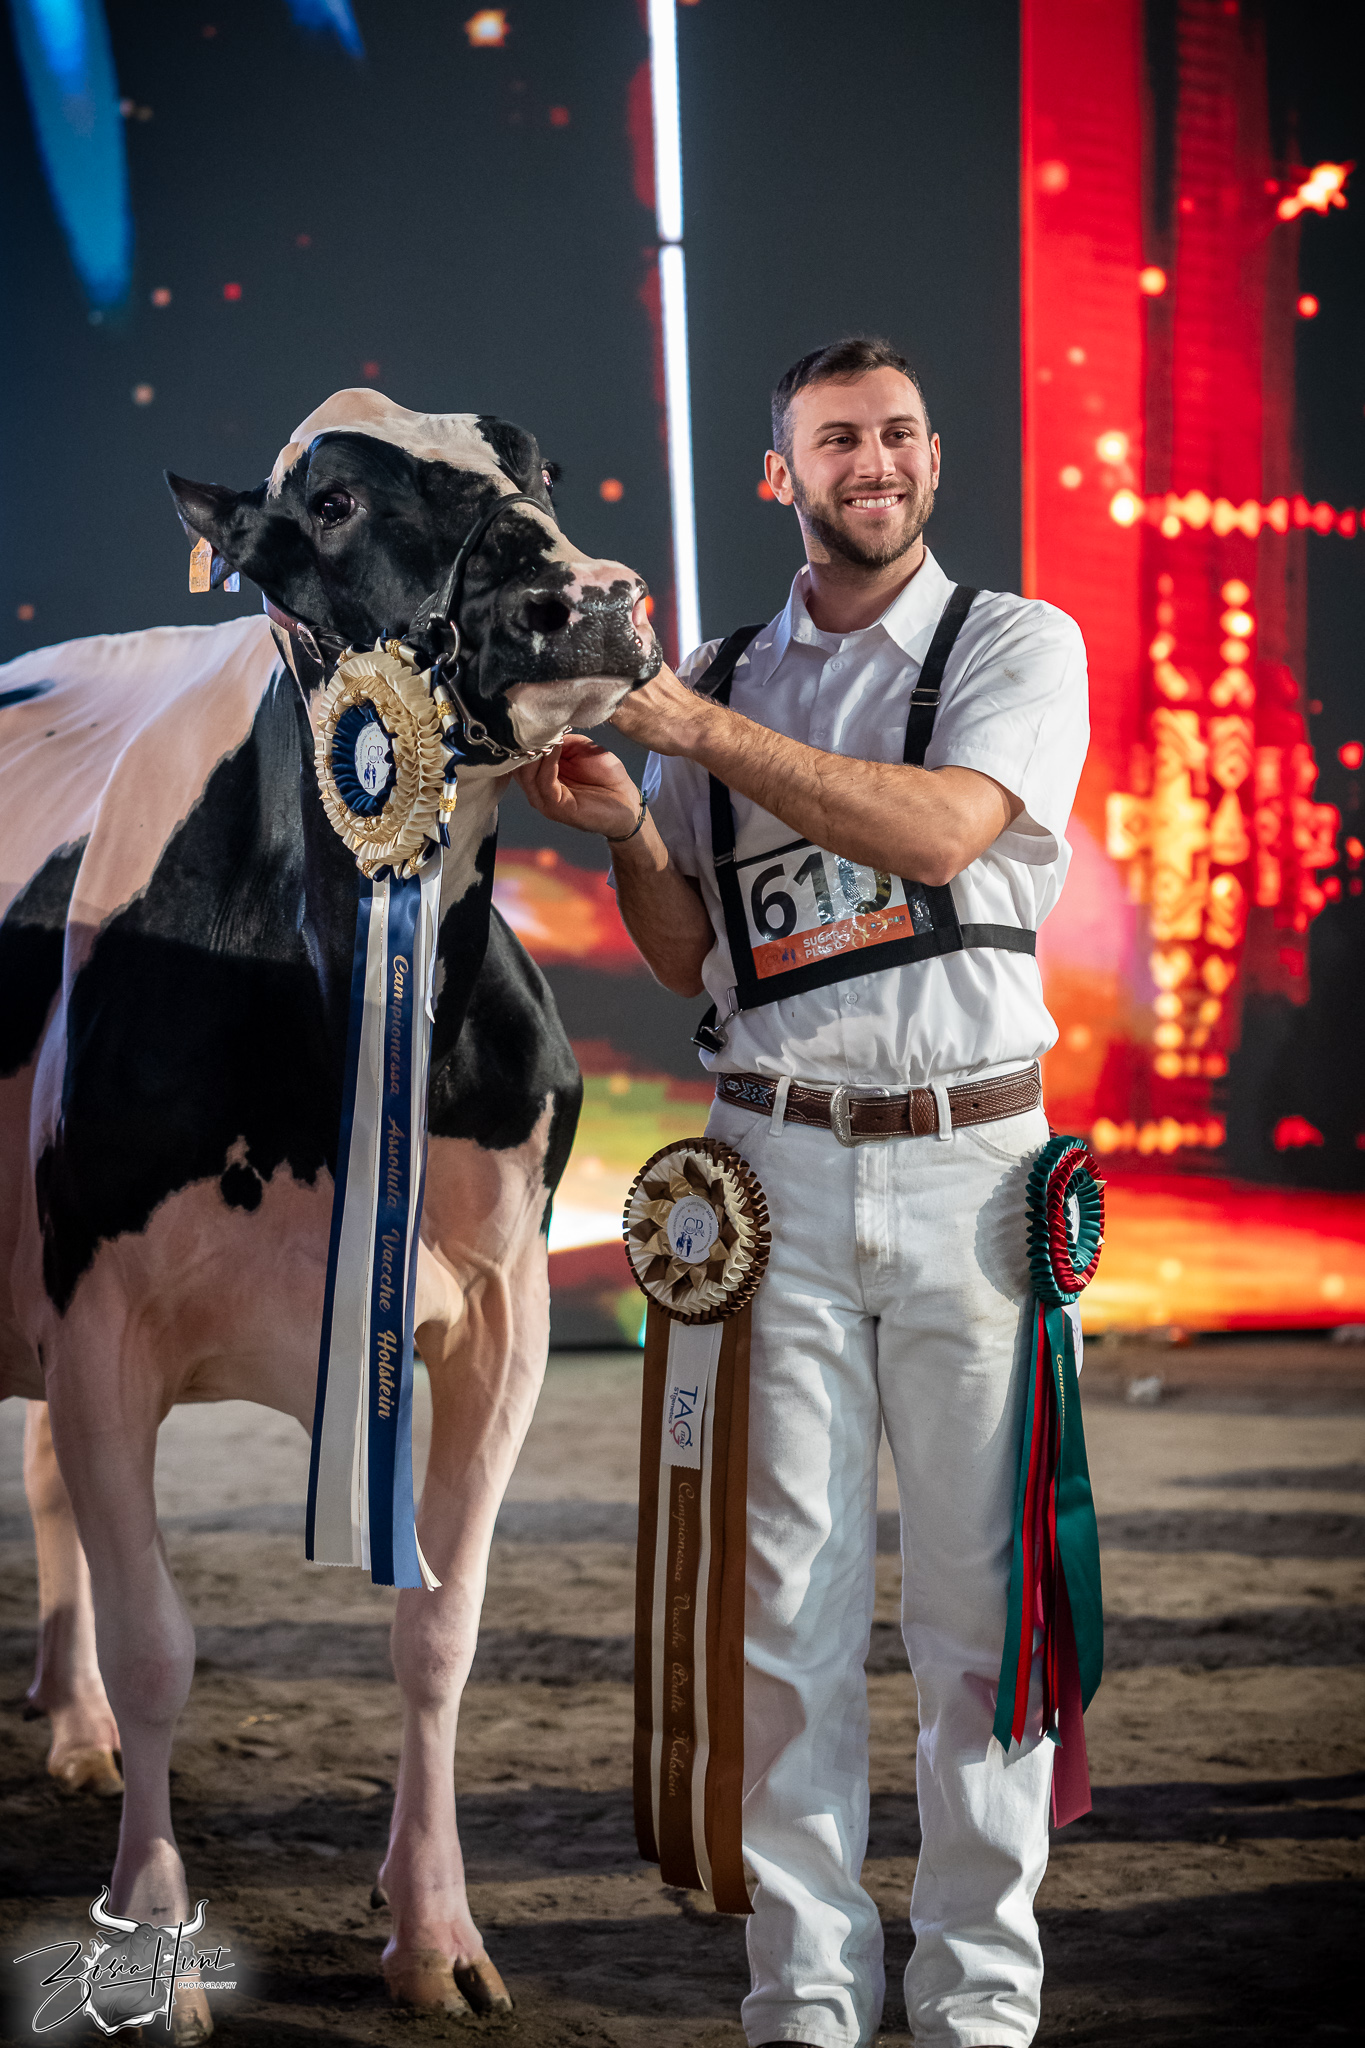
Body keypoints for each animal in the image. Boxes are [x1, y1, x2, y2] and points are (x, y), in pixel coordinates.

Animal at [0, 389, 660, 2041]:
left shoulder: (496, 1322)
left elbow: (438, 1632)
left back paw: (73, 1727)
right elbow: (161, 1642)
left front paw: (434, 1929)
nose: (589, 600)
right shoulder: (99, 1316)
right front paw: (155, 1938)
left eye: (540, 466)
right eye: (336, 504)